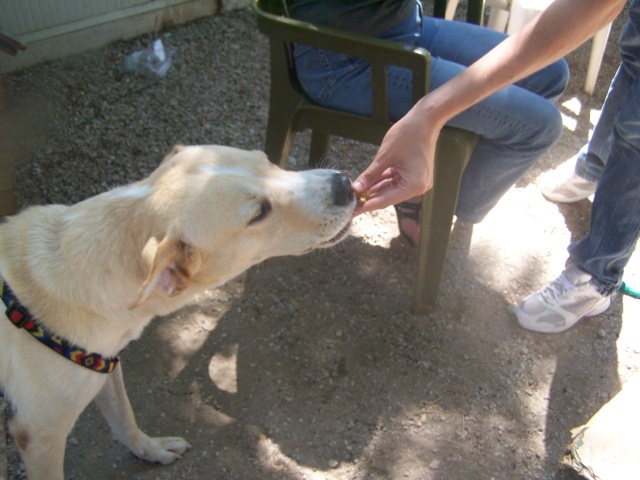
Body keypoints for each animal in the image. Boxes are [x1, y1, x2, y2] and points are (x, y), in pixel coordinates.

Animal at [0, 145, 356, 480]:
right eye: (259, 213)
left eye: (267, 160)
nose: (345, 185)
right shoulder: (39, 434)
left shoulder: (104, 368)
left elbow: (125, 418)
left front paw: (151, 450)